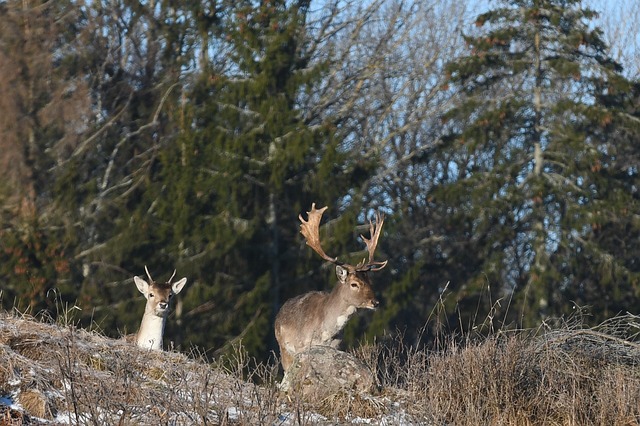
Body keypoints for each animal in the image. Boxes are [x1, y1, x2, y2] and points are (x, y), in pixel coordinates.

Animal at [274, 205, 388, 372]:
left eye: (370, 281)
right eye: (354, 284)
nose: (375, 302)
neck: (326, 333)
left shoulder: (337, 347)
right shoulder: (301, 347)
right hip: (283, 347)